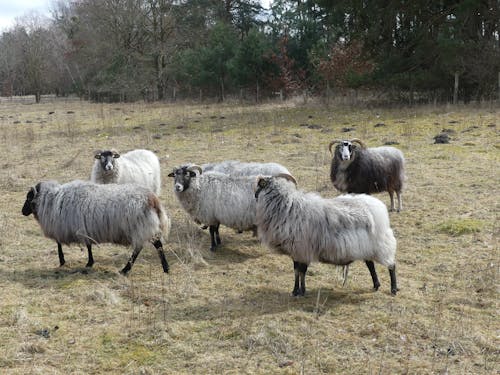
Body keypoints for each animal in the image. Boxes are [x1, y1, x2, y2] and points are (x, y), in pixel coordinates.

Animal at [21, 181, 172, 274]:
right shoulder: (84, 229)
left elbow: (60, 244)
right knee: (155, 245)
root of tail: (153, 200)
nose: (22, 211)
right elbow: (88, 246)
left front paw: (64, 260)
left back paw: (126, 269)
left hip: (141, 227)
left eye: (28, 198)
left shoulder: (72, 228)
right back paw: (165, 268)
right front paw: (89, 262)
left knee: (144, 248)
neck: (53, 201)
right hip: (145, 227)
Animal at [254, 176, 398, 296]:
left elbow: (302, 272)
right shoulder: (296, 252)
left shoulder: (303, 250)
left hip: (381, 244)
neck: (288, 208)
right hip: (367, 247)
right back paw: (376, 285)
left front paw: (301, 291)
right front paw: (295, 291)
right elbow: (296, 272)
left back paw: (393, 289)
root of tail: (378, 206)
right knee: (370, 265)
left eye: (259, 186)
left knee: (391, 265)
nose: (254, 196)